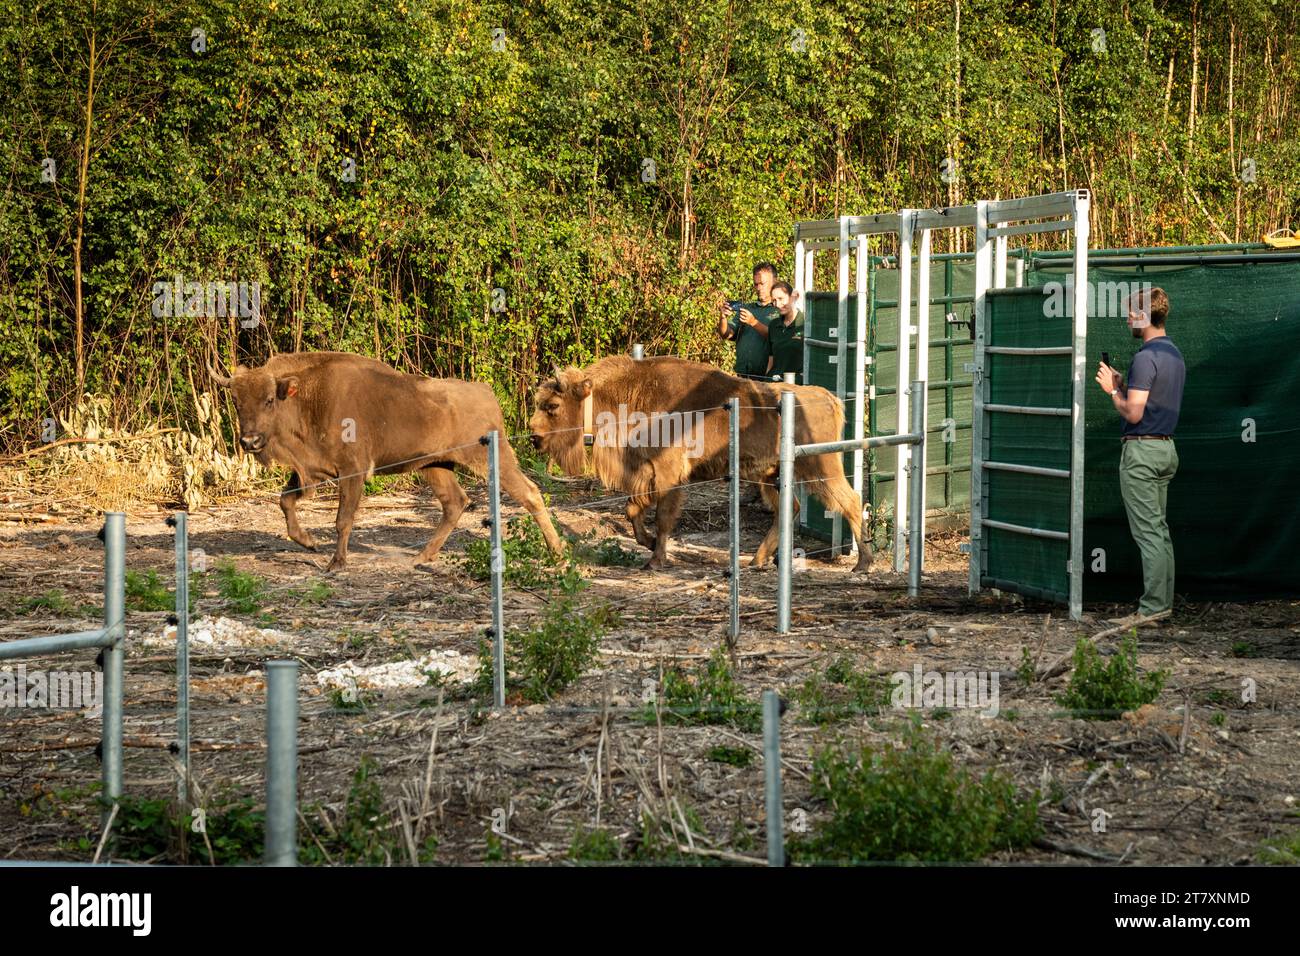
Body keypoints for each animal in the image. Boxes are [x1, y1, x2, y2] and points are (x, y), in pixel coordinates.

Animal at [208, 353, 564, 572]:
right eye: (236, 401)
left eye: (269, 400)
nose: (249, 441)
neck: (306, 399)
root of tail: (486, 393)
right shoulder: (312, 471)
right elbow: (286, 501)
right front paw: (309, 543)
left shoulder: (351, 472)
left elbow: (342, 519)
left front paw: (336, 563)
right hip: (435, 466)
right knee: (455, 503)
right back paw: (421, 557)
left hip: (489, 458)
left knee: (529, 493)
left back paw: (558, 553)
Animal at [527, 356, 873, 572]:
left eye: (553, 405)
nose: (534, 437)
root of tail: (828, 397)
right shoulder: (644, 473)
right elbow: (633, 509)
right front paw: (648, 543)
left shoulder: (668, 474)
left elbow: (662, 515)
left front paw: (655, 559)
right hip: (769, 475)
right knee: (790, 509)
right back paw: (758, 560)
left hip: (820, 467)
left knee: (851, 501)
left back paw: (863, 564)